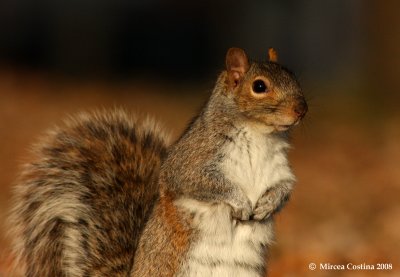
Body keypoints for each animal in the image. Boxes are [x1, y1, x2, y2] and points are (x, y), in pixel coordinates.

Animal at [8, 48, 306, 276]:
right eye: (259, 86)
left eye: (293, 76)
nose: (301, 109)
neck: (259, 134)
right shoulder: (192, 160)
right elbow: (202, 183)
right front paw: (241, 202)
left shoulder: (279, 169)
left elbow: (285, 189)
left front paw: (268, 204)